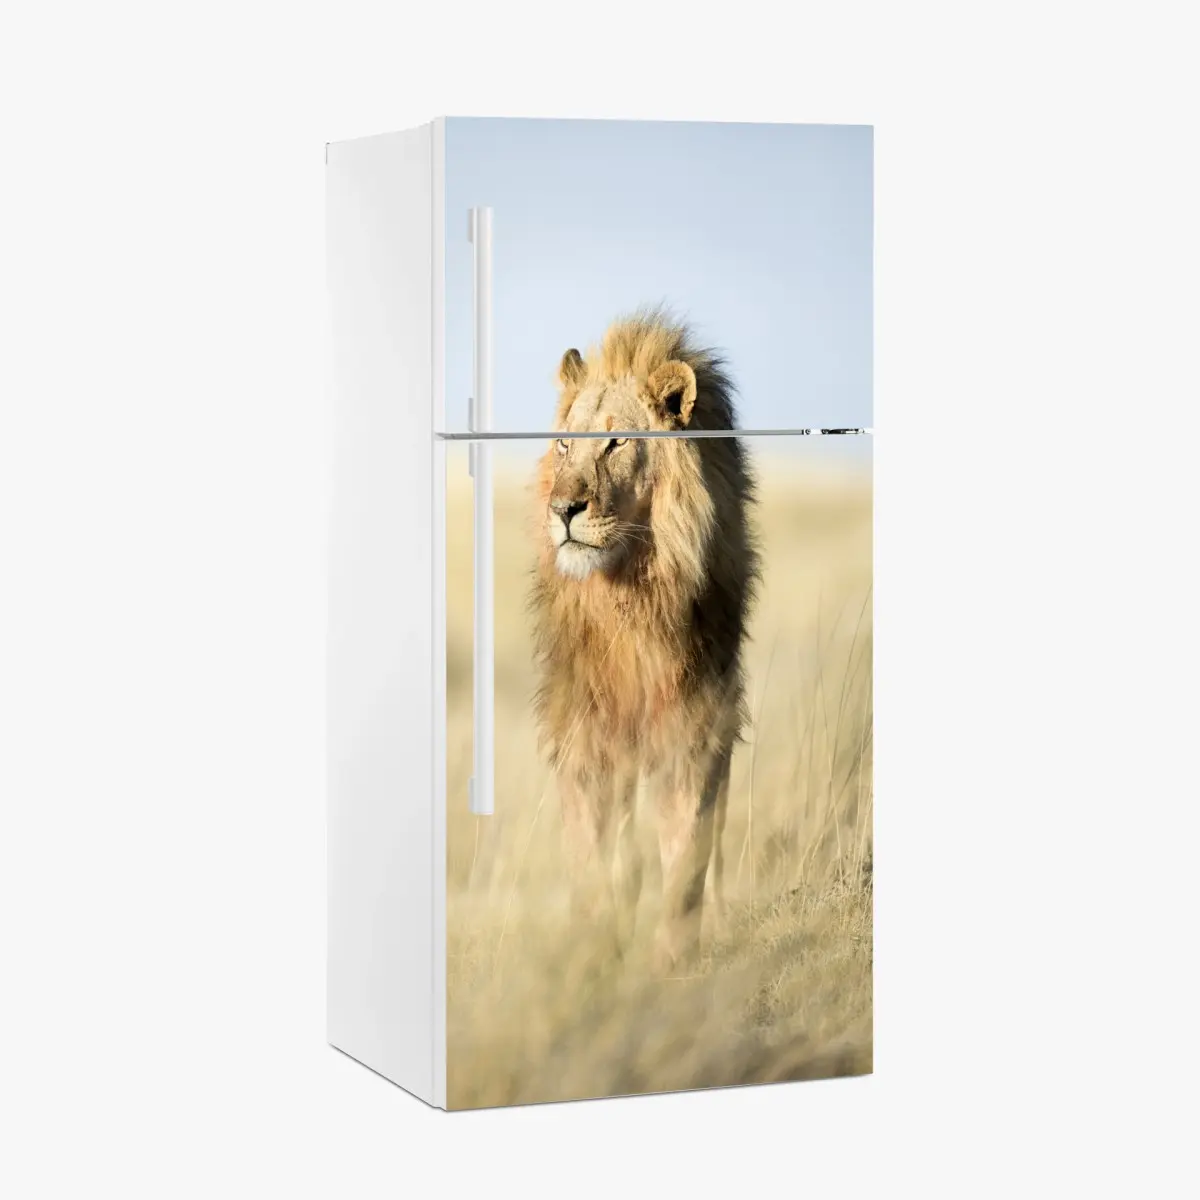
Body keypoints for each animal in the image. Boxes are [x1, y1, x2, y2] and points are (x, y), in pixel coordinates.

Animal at [529, 310, 759, 970]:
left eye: (617, 441)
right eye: (565, 443)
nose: (564, 508)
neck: (630, 595)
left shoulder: (698, 723)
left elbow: (687, 852)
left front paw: (671, 961)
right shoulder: (583, 731)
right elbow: (595, 852)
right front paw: (595, 948)